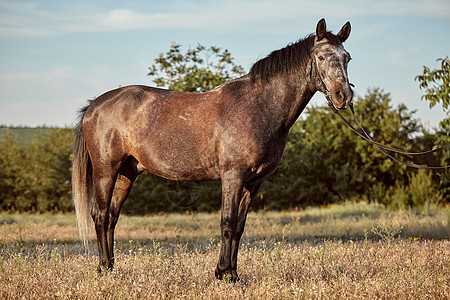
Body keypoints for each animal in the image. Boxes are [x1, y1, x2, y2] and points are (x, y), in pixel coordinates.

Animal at [72, 18, 354, 282]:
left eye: (347, 57)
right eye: (320, 56)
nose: (344, 96)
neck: (258, 107)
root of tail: (94, 105)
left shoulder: (254, 182)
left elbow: (239, 227)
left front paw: (233, 273)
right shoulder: (233, 176)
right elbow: (227, 223)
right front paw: (223, 274)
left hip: (127, 173)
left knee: (112, 217)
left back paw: (111, 268)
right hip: (106, 172)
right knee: (100, 215)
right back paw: (103, 268)